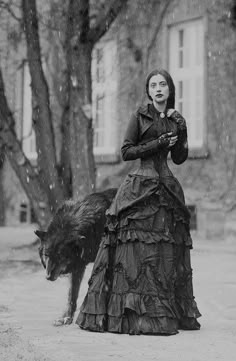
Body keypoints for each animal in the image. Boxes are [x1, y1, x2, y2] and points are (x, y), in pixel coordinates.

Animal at [34, 187, 117, 324]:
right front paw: (67, 317)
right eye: (47, 255)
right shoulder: (78, 266)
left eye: (60, 256)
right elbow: (72, 295)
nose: (48, 277)